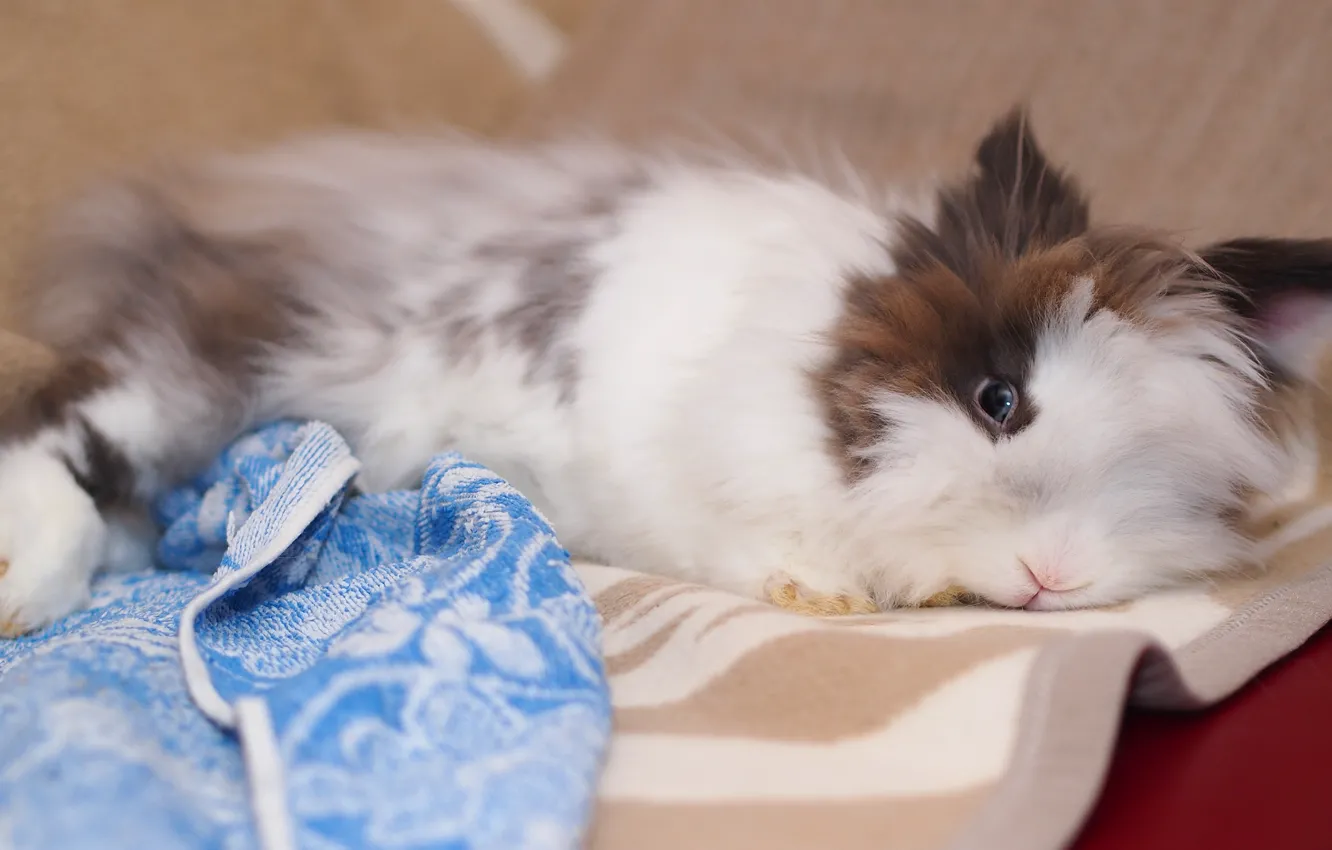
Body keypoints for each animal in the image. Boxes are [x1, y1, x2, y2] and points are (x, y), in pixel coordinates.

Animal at [0, 108, 1328, 635]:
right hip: (202, 364)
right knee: (67, 430)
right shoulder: (671, 478)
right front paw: (822, 593)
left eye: (1183, 475)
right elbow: (746, 545)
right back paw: (31, 589)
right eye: (999, 399)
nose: (1057, 577)